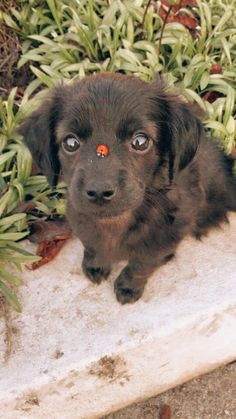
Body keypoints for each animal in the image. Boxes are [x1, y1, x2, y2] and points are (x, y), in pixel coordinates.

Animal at [19, 74, 236, 306]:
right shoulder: (80, 218)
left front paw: (128, 287)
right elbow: (92, 244)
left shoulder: (165, 236)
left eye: (140, 141)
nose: (99, 191)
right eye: (70, 142)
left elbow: (142, 262)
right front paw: (95, 265)